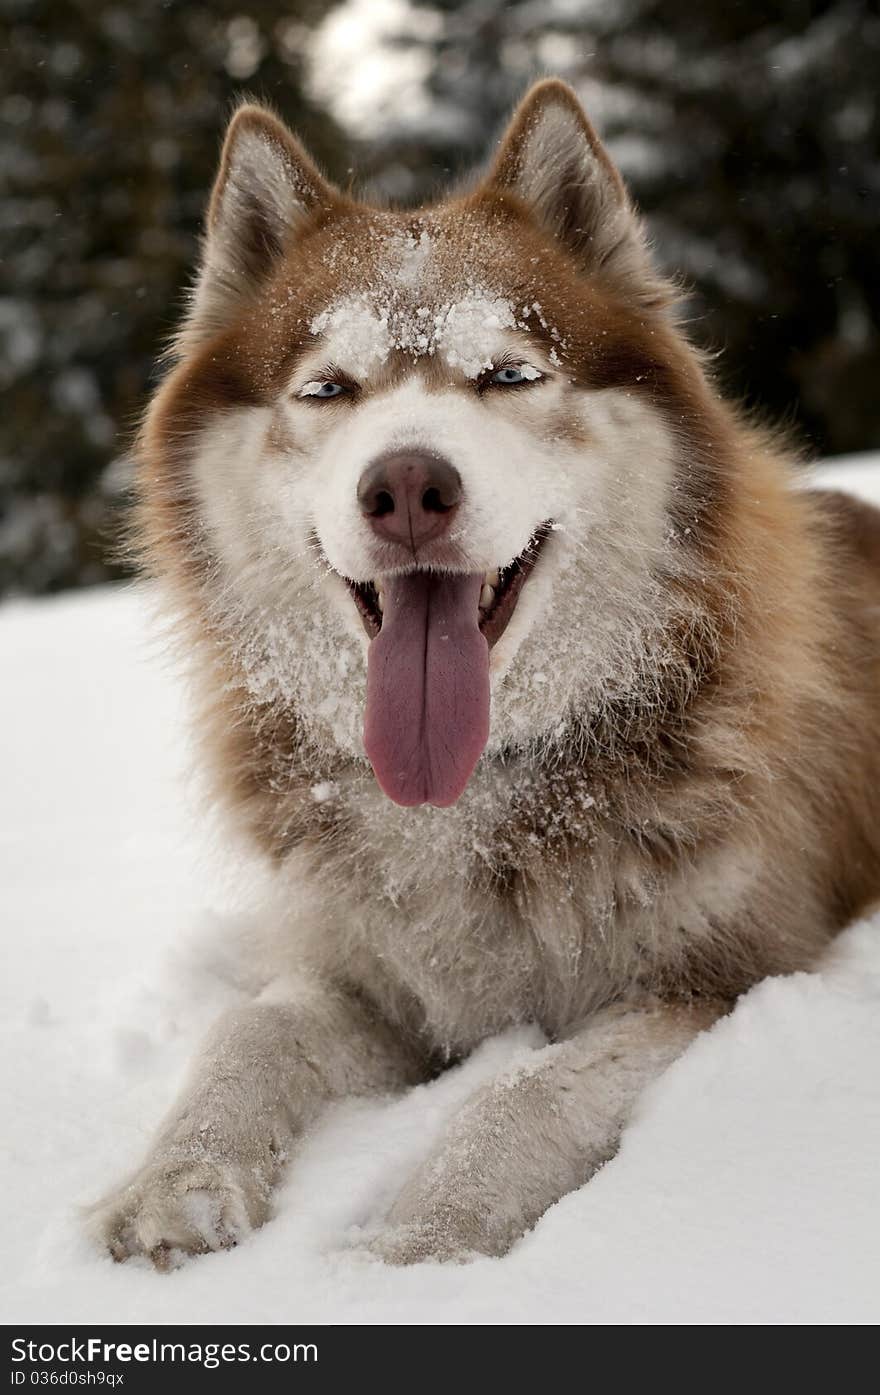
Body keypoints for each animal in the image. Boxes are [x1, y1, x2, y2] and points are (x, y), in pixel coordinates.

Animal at [89, 81, 880, 1272]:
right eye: (328, 388)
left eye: (509, 374)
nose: (408, 485)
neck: (476, 789)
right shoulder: (355, 966)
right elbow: (251, 1028)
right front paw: (174, 1181)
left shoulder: (725, 981)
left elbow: (524, 1092)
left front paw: (418, 1240)